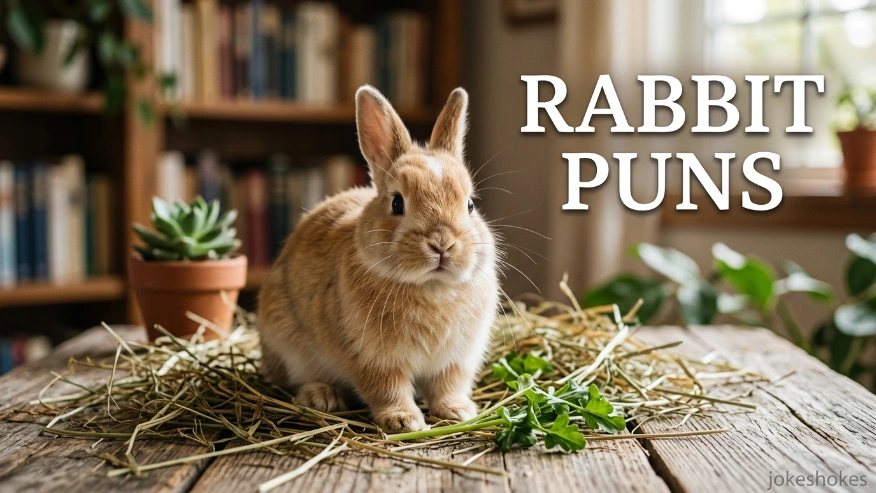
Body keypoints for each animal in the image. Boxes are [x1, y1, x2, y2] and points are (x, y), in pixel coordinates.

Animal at [257, 85, 499, 432]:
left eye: (470, 205)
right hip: (287, 346)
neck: (432, 287)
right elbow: (387, 389)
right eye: (397, 203)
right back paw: (322, 396)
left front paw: (458, 412)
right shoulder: (371, 358)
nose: (442, 245)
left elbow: (448, 386)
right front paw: (405, 422)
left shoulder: (455, 360)